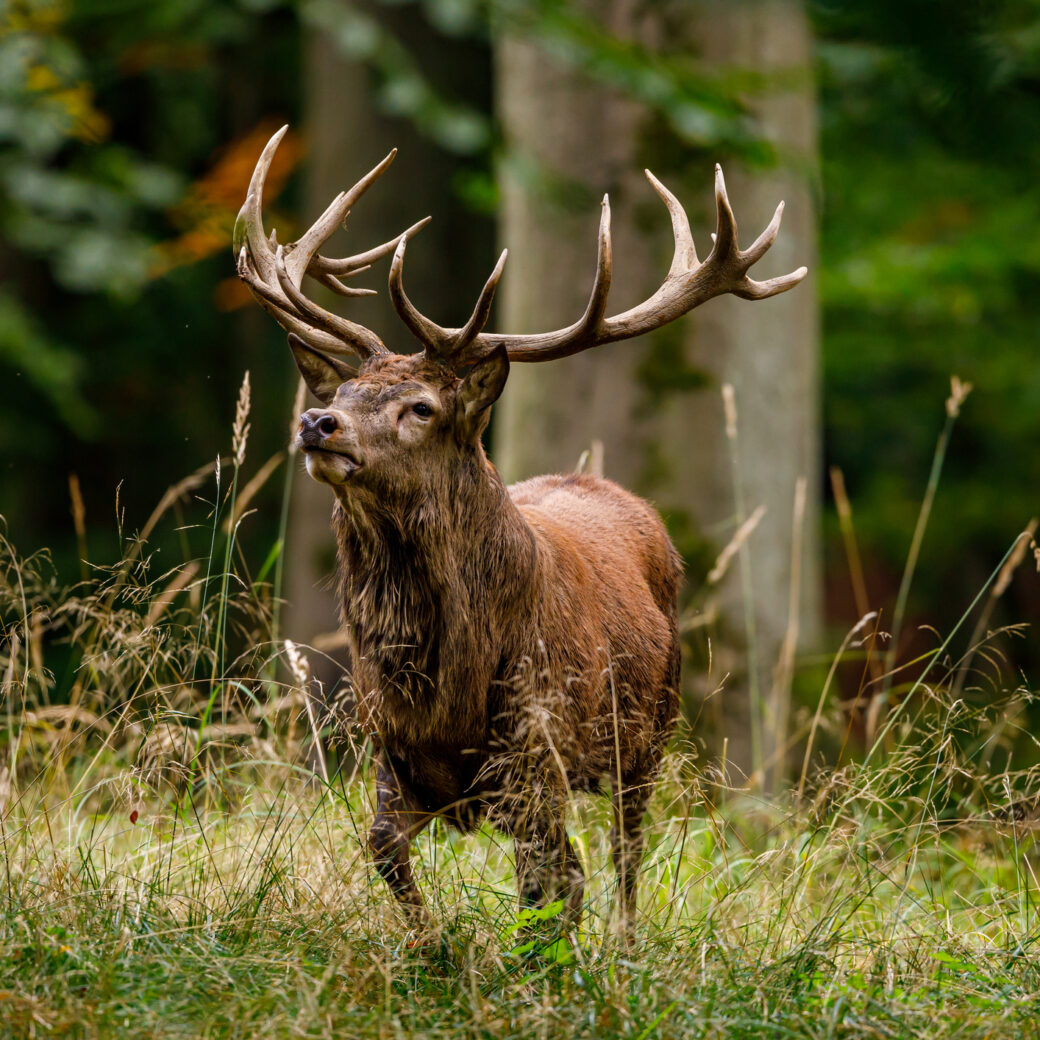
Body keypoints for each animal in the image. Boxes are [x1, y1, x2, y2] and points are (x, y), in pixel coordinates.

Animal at [234, 126, 806, 932]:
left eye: (421, 407)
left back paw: (625, 943)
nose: (318, 423)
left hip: (652, 728)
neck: (446, 691)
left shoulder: (539, 748)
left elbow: (549, 883)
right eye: (343, 390)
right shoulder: (394, 754)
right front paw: (433, 945)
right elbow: (384, 848)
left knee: (624, 855)